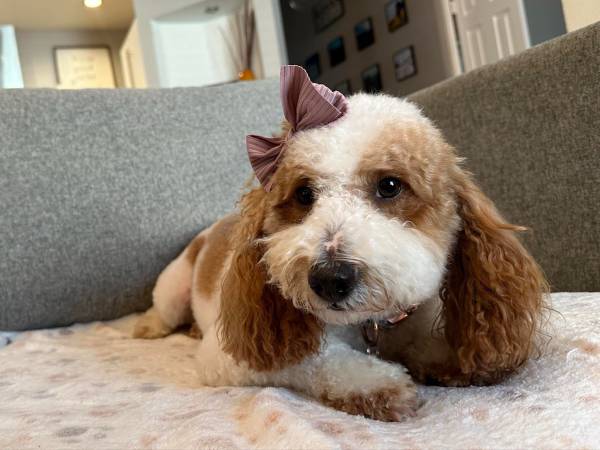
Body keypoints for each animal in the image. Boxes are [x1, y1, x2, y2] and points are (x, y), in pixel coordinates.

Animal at [134, 66, 547, 422]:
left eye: (390, 185)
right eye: (304, 194)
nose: (330, 278)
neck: (371, 327)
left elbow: (432, 345)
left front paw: (452, 358)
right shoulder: (232, 357)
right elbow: (313, 360)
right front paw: (376, 383)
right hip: (173, 289)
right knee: (163, 310)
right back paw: (150, 327)